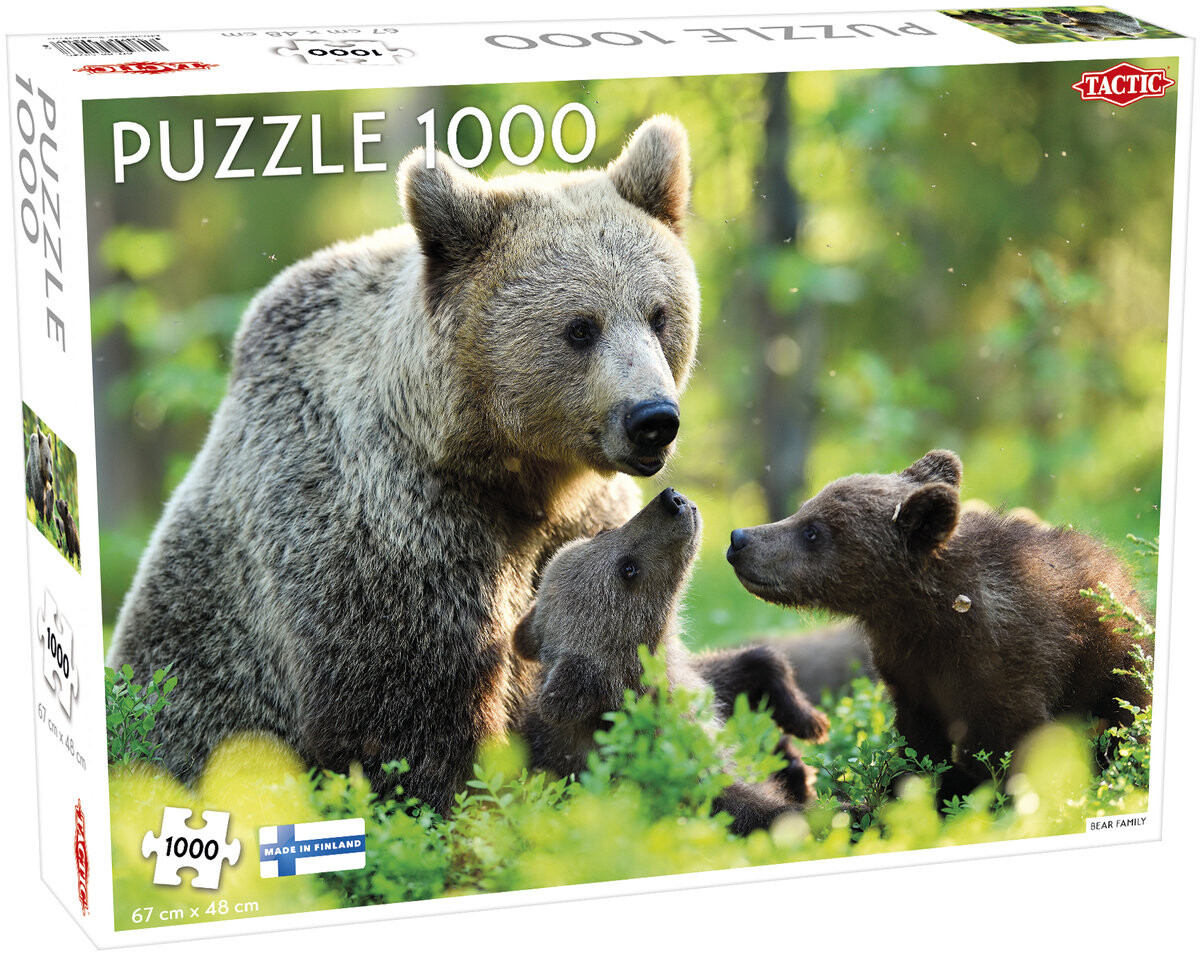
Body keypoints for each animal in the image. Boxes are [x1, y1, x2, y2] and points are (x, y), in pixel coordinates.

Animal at [105, 116, 701, 814]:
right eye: (581, 327)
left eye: (659, 315)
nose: (652, 417)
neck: (508, 469)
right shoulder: (393, 525)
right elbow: (407, 715)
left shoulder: (583, 515)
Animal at [512, 487, 829, 833]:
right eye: (628, 569)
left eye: (602, 532)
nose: (671, 499)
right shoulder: (665, 759)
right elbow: (740, 806)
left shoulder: (693, 684)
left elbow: (746, 665)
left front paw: (808, 720)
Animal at [725, 449, 1150, 801]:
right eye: (804, 509)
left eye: (813, 531)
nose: (739, 538)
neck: (926, 616)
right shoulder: (910, 674)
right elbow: (918, 748)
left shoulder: (1007, 666)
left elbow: (1006, 747)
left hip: (1111, 669)